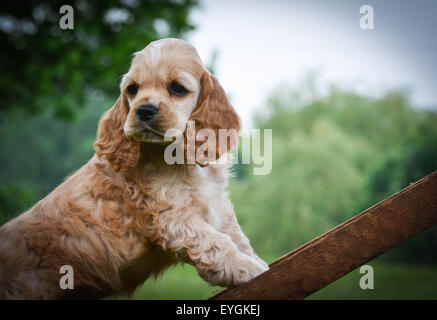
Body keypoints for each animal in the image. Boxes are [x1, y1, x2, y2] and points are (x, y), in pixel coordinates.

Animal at [0, 38, 268, 300]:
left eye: (177, 88)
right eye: (132, 89)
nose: (144, 110)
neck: (177, 158)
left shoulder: (217, 206)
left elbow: (236, 237)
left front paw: (255, 261)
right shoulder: (172, 217)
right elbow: (216, 242)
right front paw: (249, 268)